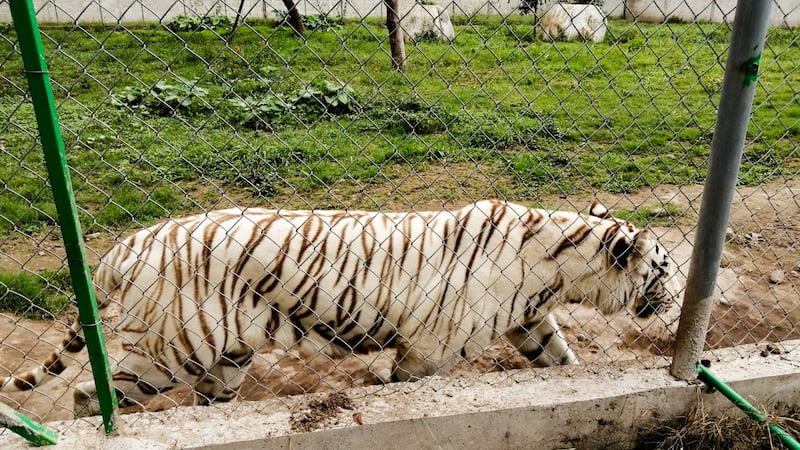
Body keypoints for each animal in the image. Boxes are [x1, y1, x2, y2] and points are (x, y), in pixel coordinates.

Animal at [0, 200, 677, 416]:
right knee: (89, 394)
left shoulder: (530, 320)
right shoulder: (429, 350)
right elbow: (405, 385)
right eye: (666, 268)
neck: (558, 268)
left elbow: (561, 362)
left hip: (225, 357)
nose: (675, 299)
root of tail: (130, 242)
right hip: (171, 349)